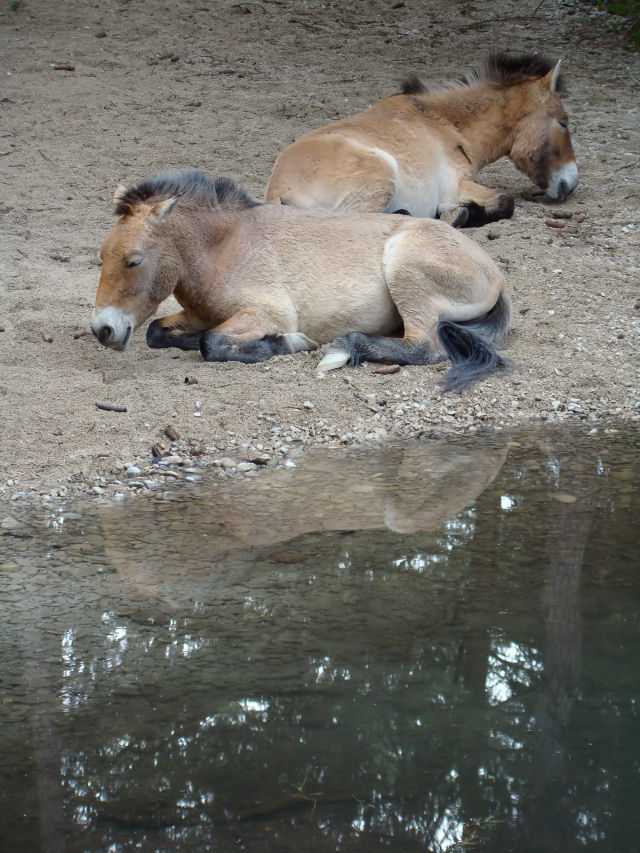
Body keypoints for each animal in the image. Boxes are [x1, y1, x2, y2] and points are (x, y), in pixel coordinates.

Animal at [91, 167, 510, 392]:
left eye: (134, 261)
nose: (103, 329)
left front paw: (285, 342)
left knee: (425, 347)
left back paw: (342, 348)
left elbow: (213, 343)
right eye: (102, 255)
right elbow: (159, 332)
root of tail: (493, 272)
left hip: (406, 274)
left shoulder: (268, 312)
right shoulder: (198, 315)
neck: (226, 247)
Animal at [264, 50, 580, 226]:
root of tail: (277, 189)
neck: (445, 123)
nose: (571, 183)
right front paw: (464, 215)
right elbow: (505, 201)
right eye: (563, 122)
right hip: (382, 177)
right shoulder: (456, 187)